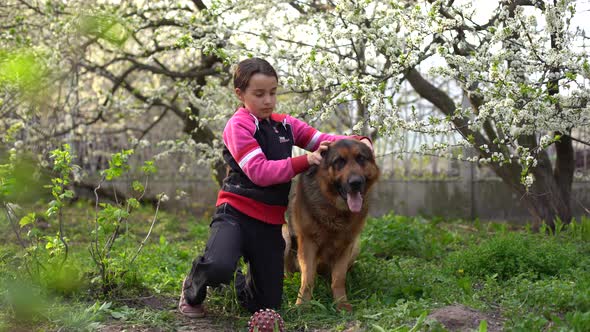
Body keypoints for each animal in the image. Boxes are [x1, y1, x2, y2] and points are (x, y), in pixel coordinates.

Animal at [286, 139, 380, 310]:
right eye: (339, 161)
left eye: (361, 159)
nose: (356, 183)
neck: (335, 208)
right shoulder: (308, 244)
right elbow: (307, 279)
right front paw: (302, 305)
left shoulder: (346, 246)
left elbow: (338, 279)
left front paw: (341, 304)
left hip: (356, 246)